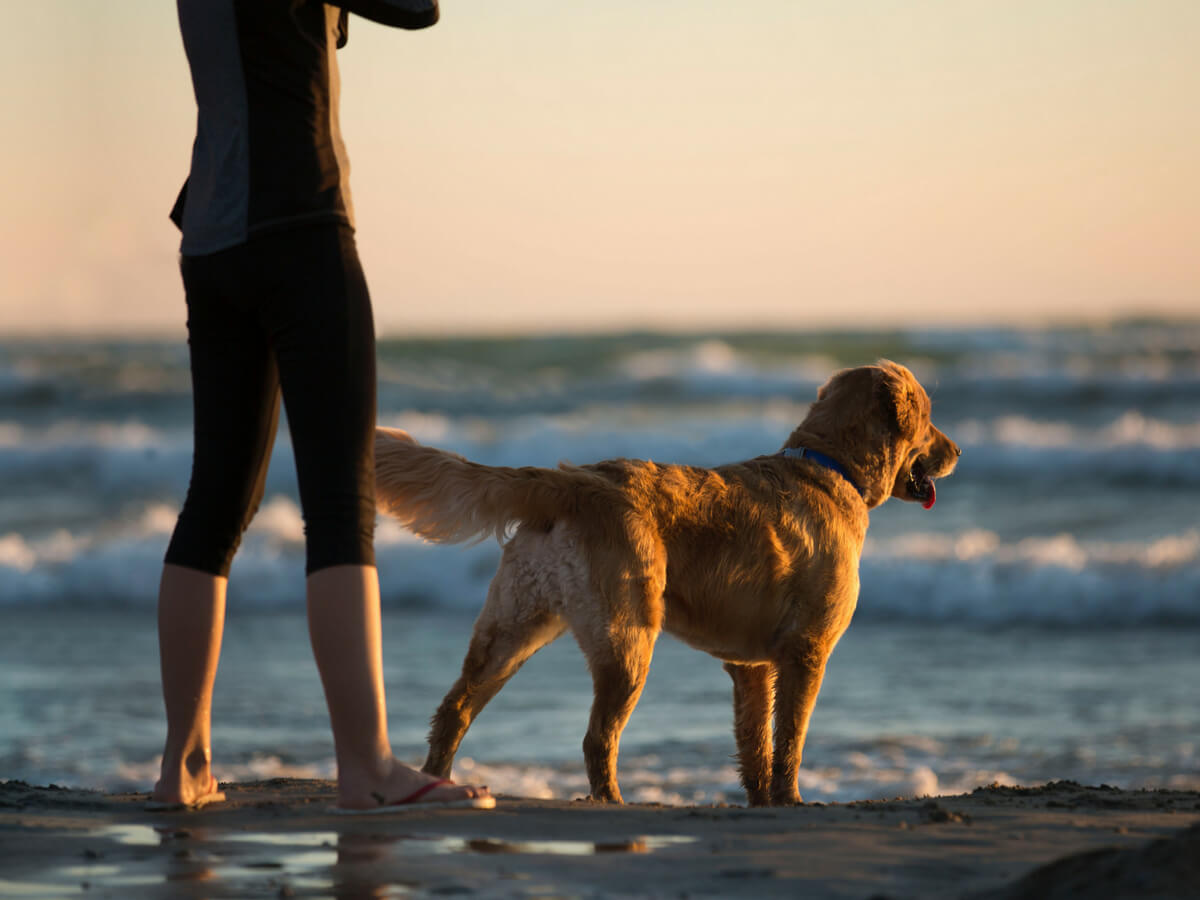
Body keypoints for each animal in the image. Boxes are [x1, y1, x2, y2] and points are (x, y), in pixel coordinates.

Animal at [374, 362, 955, 806]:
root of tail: (573, 480)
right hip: (627, 638)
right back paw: (611, 801)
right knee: (596, 738)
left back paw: (438, 782)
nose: (958, 453)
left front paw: (761, 801)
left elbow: (755, 743)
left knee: (454, 709)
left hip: (513, 627)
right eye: (929, 419)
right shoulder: (807, 651)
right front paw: (790, 800)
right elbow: (790, 738)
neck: (830, 466)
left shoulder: (751, 665)